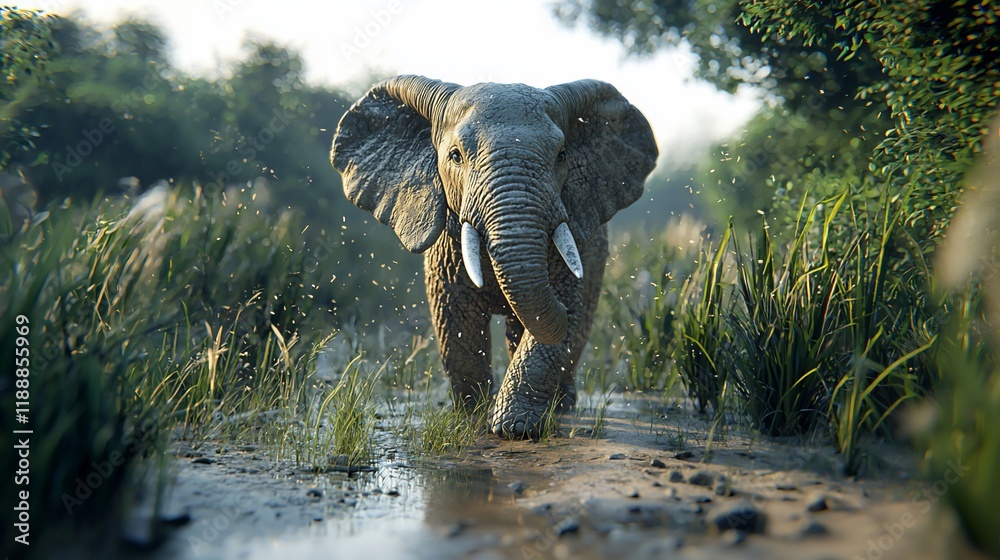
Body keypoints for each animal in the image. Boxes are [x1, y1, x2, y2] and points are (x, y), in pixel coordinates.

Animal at [331, 75, 657, 438]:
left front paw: (516, 428)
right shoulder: (446, 248)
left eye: (561, 156)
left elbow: (561, 314)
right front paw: (472, 414)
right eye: (455, 156)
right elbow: (456, 319)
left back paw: (562, 405)